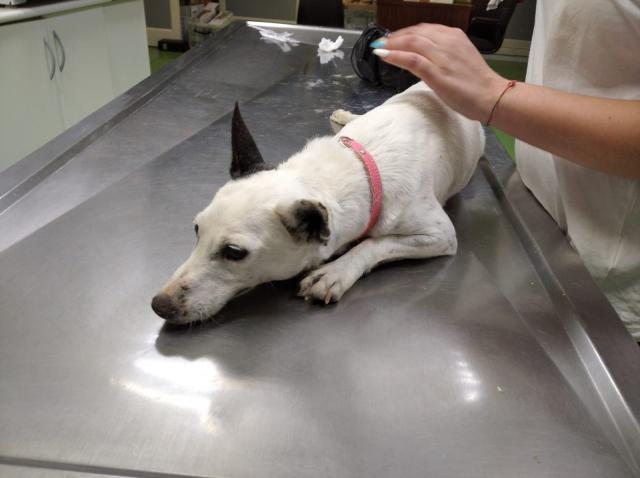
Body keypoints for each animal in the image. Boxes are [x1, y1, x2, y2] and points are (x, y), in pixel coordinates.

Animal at [151, 82, 485, 324]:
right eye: (197, 229)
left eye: (234, 253)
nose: (159, 305)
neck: (355, 167)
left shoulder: (440, 235)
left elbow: (375, 243)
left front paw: (335, 272)